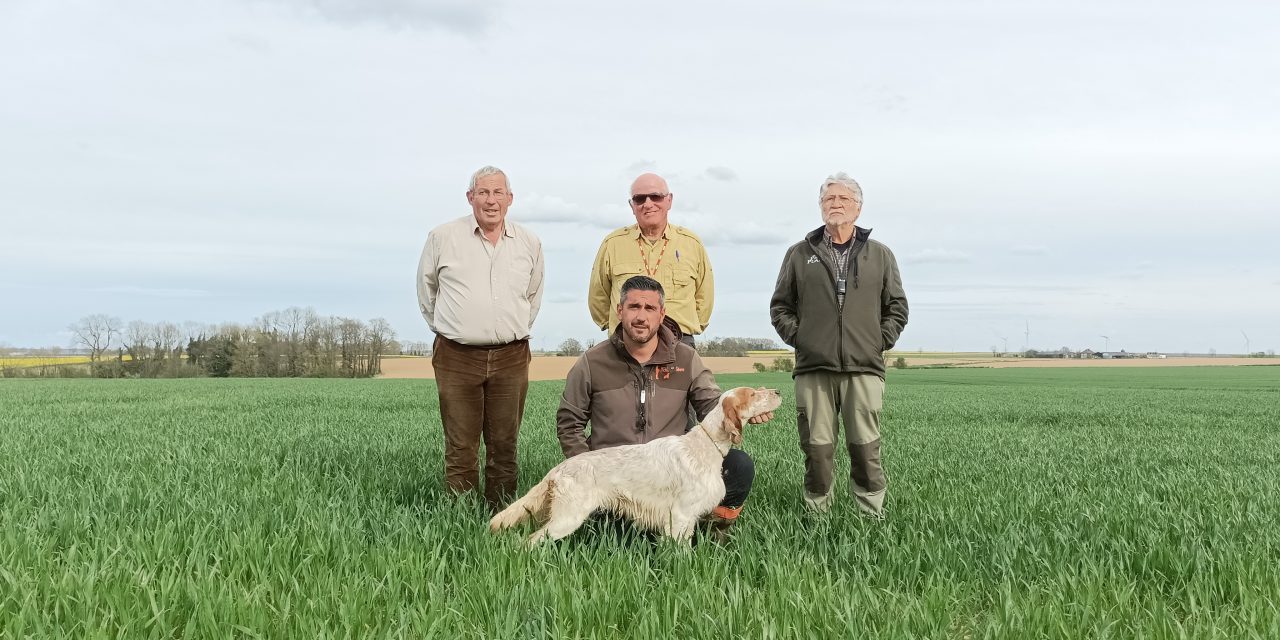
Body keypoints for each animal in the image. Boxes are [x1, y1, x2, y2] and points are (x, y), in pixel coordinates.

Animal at [486, 384, 778, 545]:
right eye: (753, 394)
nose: (777, 391)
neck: (705, 445)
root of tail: (559, 469)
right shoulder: (681, 516)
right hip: (567, 518)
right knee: (529, 541)